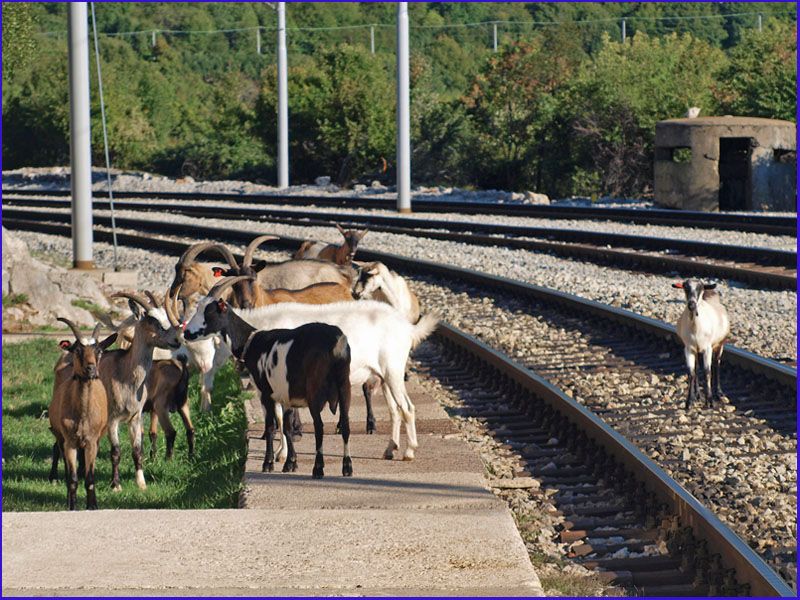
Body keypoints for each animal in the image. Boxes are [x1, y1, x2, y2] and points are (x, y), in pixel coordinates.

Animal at [187, 276, 354, 478]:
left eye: (208, 312)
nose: (186, 332)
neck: (251, 341)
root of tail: (336, 344)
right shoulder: (287, 395)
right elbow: (287, 427)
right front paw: (290, 463)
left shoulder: (265, 392)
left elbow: (271, 427)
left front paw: (268, 464)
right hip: (344, 385)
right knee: (345, 424)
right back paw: (347, 467)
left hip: (315, 389)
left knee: (319, 426)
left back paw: (318, 468)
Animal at [672, 280, 728, 410]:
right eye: (685, 287)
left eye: (700, 287)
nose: (691, 305)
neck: (695, 327)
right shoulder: (688, 348)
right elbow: (691, 372)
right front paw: (689, 401)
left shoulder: (708, 348)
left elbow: (707, 371)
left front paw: (710, 401)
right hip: (697, 350)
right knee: (697, 367)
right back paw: (697, 394)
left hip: (719, 345)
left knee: (716, 364)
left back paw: (719, 393)